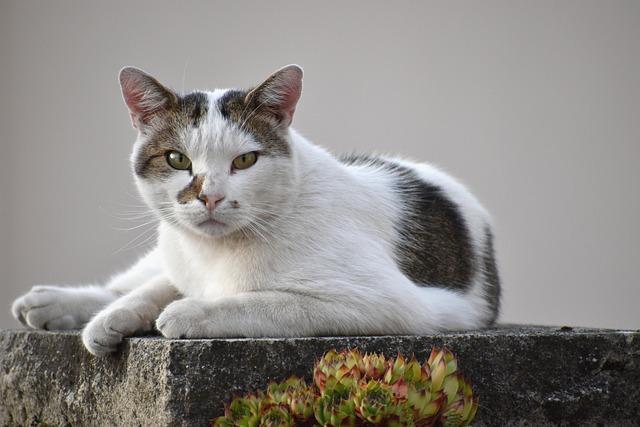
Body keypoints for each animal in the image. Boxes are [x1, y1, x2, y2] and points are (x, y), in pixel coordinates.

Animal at [10, 64, 500, 358]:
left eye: (245, 160)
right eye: (177, 159)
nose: (210, 196)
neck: (216, 255)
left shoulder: (389, 304)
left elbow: (267, 302)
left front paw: (190, 313)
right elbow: (155, 288)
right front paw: (110, 320)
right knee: (133, 279)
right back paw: (54, 302)